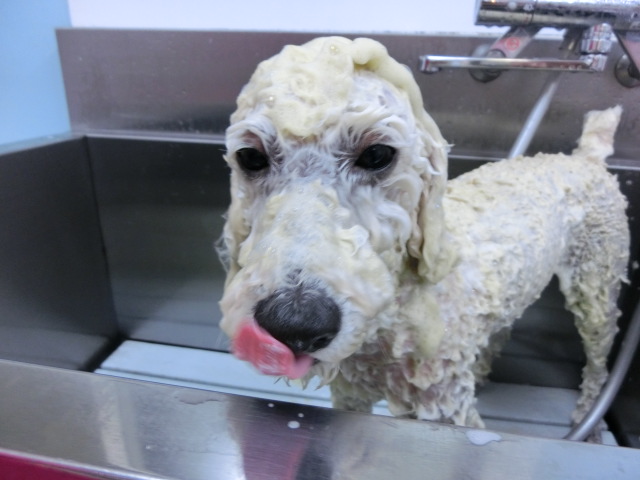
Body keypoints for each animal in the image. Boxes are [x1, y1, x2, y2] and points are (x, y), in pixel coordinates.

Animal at [218, 36, 629, 431]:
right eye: (250, 157)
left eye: (377, 154)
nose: (296, 322)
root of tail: (586, 156)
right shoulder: (351, 394)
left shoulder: (447, 408)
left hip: (596, 285)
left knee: (598, 360)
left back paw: (588, 415)